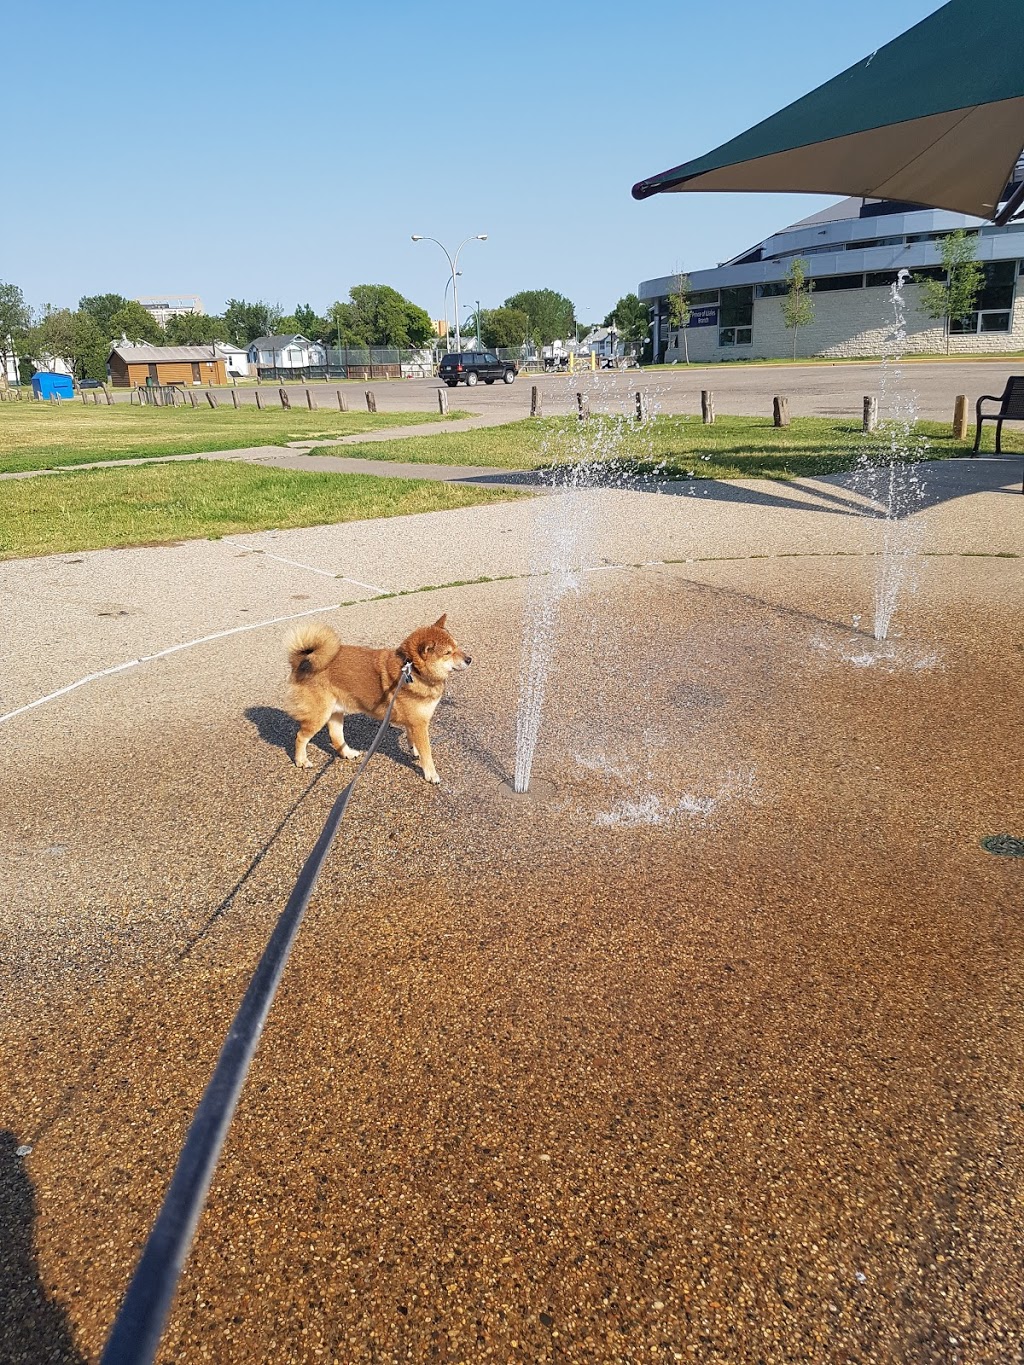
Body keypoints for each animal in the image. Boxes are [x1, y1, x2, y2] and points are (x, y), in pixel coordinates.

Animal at [282, 616, 472, 786]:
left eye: (457, 646)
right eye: (448, 653)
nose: (469, 659)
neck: (412, 670)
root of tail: (301, 661)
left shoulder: (414, 722)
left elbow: (412, 740)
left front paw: (414, 751)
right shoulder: (419, 724)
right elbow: (427, 753)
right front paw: (431, 774)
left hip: (335, 712)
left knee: (336, 737)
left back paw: (348, 753)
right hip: (319, 715)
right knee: (301, 737)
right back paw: (301, 761)